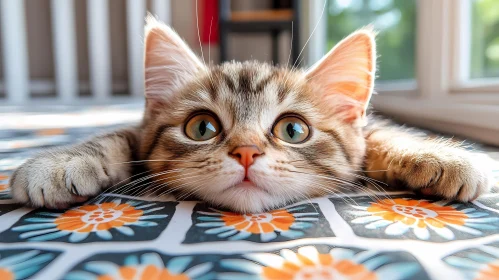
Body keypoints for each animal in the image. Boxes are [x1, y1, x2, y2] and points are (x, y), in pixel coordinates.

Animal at [8, 17, 496, 212]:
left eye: (294, 130)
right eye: (202, 127)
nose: (245, 153)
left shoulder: (368, 130)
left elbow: (384, 133)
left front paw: (445, 158)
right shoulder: (139, 130)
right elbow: (111, 137)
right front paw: (58, 163)